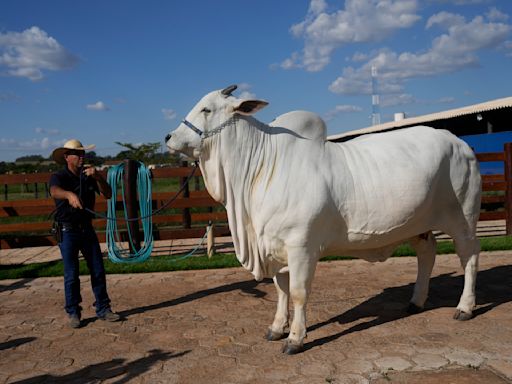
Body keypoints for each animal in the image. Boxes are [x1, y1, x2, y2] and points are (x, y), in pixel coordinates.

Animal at [166, 85, 482, 354]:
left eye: (206, 109)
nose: (168, 137)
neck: (260, 169)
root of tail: (460, 143)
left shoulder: (301, 247)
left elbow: (298, 292)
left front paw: (295, 338)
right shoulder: (276, 247)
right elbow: (281, 291)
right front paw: (277, 328)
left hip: (463, 219)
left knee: (469, 257)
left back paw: (465, 307)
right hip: (420, 225)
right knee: (427, 254)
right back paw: (416, 301)